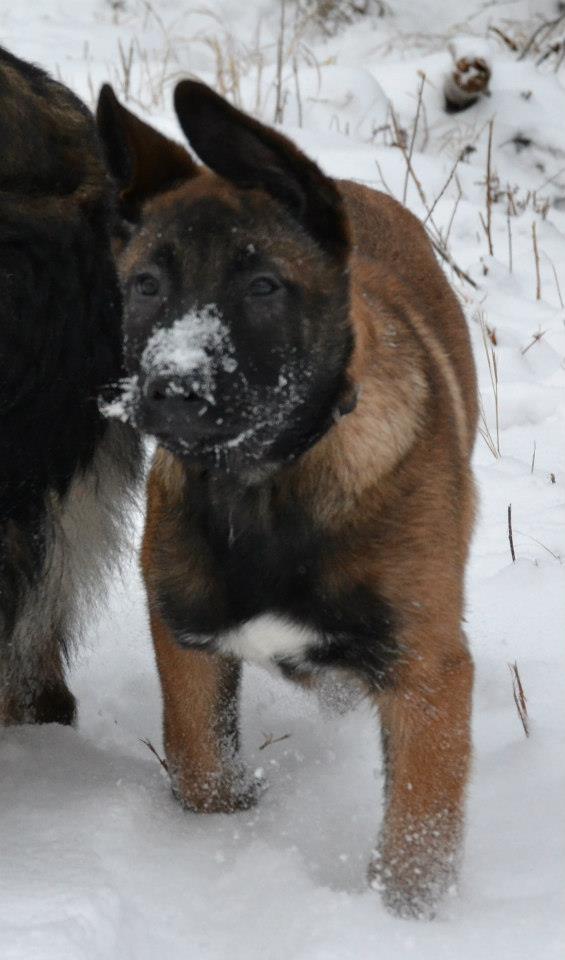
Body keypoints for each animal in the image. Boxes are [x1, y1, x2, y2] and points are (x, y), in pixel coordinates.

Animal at [97, 79, 476, 920]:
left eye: (263, 285)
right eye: (147, 285)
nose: (172, 388)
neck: (263, 483)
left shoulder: (428, 674)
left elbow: (416, 840)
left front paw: (404, 926)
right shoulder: (187, 642)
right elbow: (202, 770)